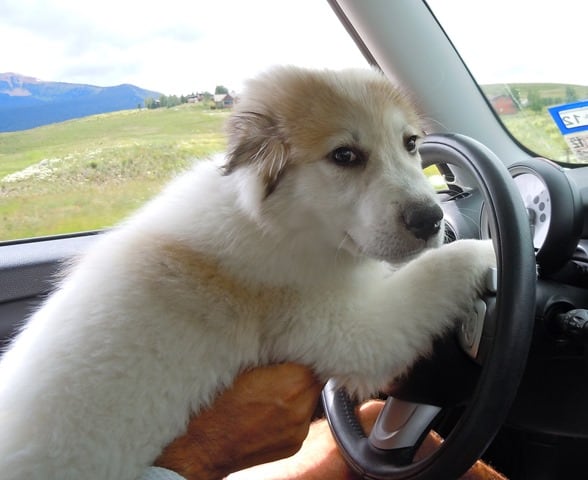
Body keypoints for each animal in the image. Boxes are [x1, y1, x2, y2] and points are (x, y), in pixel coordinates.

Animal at [0, 65, 496, 478]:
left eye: (410, 144)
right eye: (344, 156)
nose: (431, 219)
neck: (277, 220)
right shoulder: (350, 330)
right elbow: (434, 273)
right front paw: (489, 250)